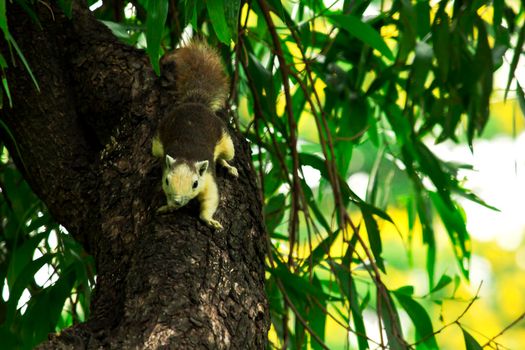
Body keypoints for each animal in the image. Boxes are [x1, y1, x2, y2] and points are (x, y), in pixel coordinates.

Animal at [151, 41, 237, 230]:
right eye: (167, 181)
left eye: (195, 183)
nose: (177, 201)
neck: (186, 156)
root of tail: (196, 103)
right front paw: (167, 207)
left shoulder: (208, 179)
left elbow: (211, 199)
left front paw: (209, 220)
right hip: (156, 143)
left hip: (227, 143)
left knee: (225, 156)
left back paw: (228, 166)